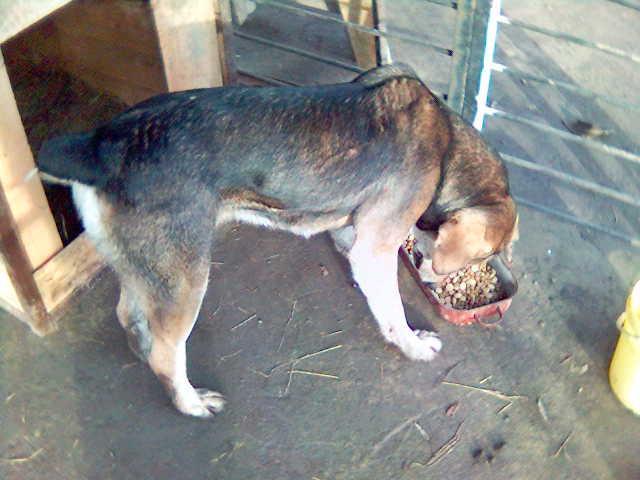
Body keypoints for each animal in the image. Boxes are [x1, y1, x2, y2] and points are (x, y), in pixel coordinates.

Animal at [37, 63, 516, 416]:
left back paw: (141, 349)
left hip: (148, 267)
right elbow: (394, 313)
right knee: (166, 353)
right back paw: (191, 402)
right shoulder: (375, 248)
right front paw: (413, 344)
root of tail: (99, 143)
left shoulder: (355, 238)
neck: (447, 144)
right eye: (486, 254)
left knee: (130, 315)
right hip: (186, 279)